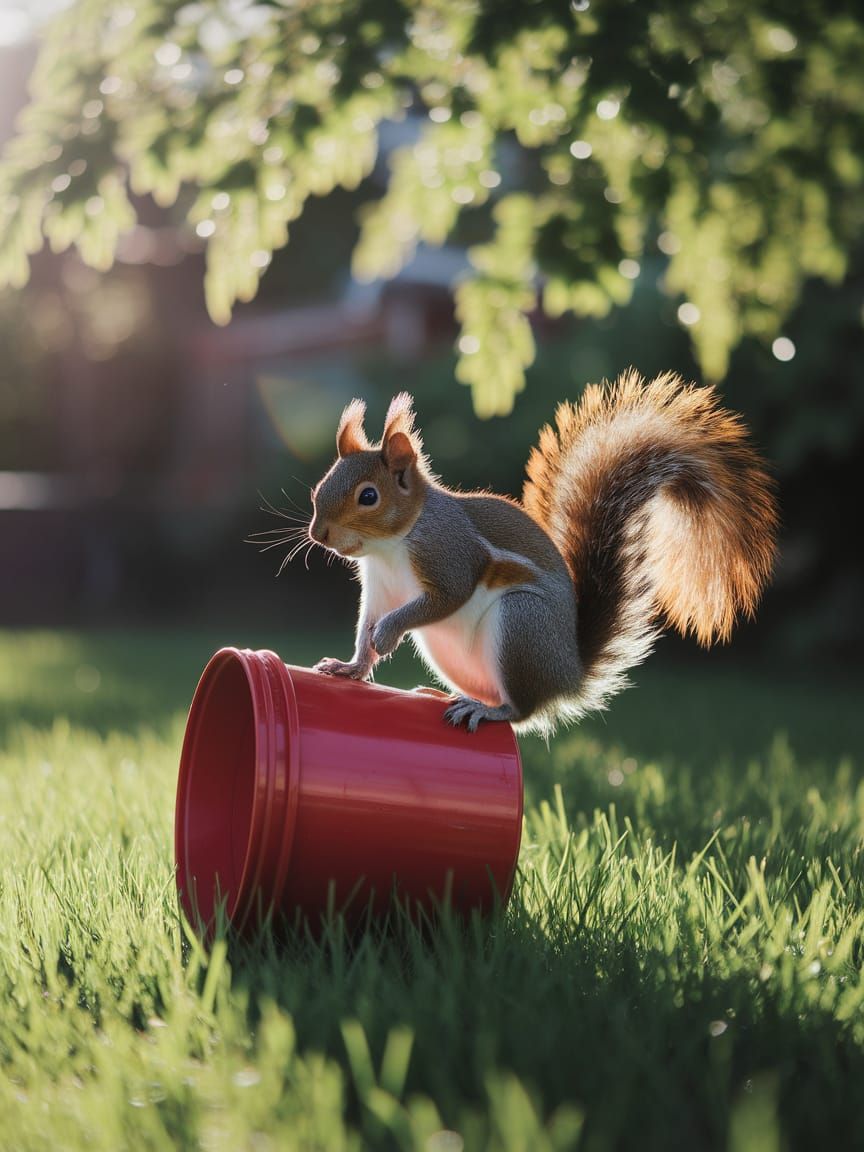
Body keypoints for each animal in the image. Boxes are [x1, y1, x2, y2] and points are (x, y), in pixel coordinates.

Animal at [307, 370, 778, 735]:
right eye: (320, 485)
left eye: (369, 496)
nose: (318, 534)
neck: (390, 548)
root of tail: (568, 672)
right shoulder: (379, 587)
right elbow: (366, 624)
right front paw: (352, 667)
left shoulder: (448, 553)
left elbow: (444, 597)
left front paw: (388, 633)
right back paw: (446, 695)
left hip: (521, 624)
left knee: (523, 712)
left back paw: (487, 710)